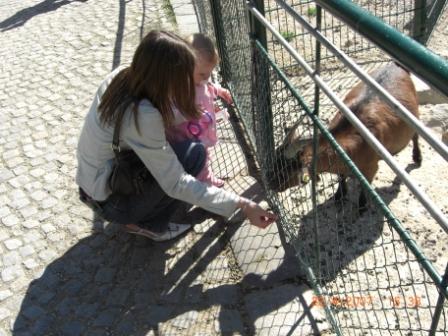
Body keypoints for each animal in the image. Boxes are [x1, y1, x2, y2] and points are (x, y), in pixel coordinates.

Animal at [268, 63, 422, 210]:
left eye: (284, 171)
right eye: (275, 161)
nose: (270, 184)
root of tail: (397, 66)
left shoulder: (371, 168)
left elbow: (365, 187)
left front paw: (362, 206)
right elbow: (341, 177)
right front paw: (339, 195)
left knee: (415, 135)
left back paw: (417, 157)